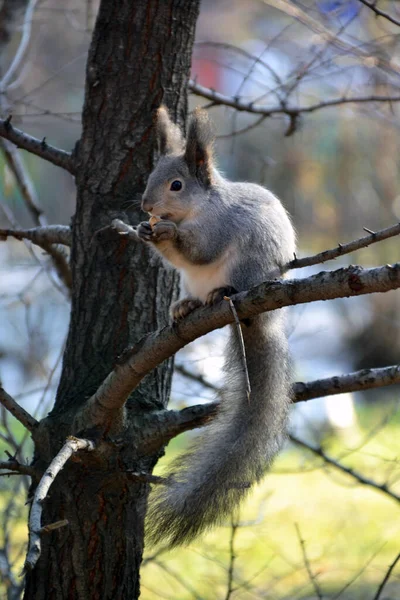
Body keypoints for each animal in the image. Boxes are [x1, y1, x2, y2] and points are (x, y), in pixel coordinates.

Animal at [138, 105, 296, 548]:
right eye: (149, 176)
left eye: (176, 185)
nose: (145, 205)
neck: (197, 210)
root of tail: (266, 318)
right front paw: (146, 232)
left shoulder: (218, 228)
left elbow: (199, 249)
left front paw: (166, 234)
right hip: (194, 283)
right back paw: (185, 305)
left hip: (249, 267)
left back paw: (220, 293)